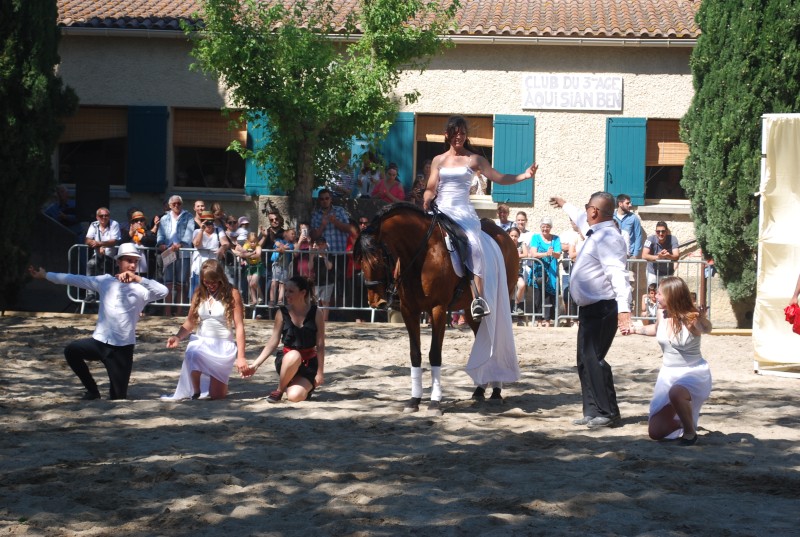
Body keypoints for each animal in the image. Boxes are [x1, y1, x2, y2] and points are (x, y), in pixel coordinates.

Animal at [354, 202, 520, 414]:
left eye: (379, 259)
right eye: (359, 261)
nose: (375, 301)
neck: (421, 253)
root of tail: (504, 235)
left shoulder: (438, 309)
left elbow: (434, 354)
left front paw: (434, 402)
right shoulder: (409, 310)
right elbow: (415, 354)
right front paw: (414, 400)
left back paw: (496, 392)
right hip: (469, 311)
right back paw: (480, 390)